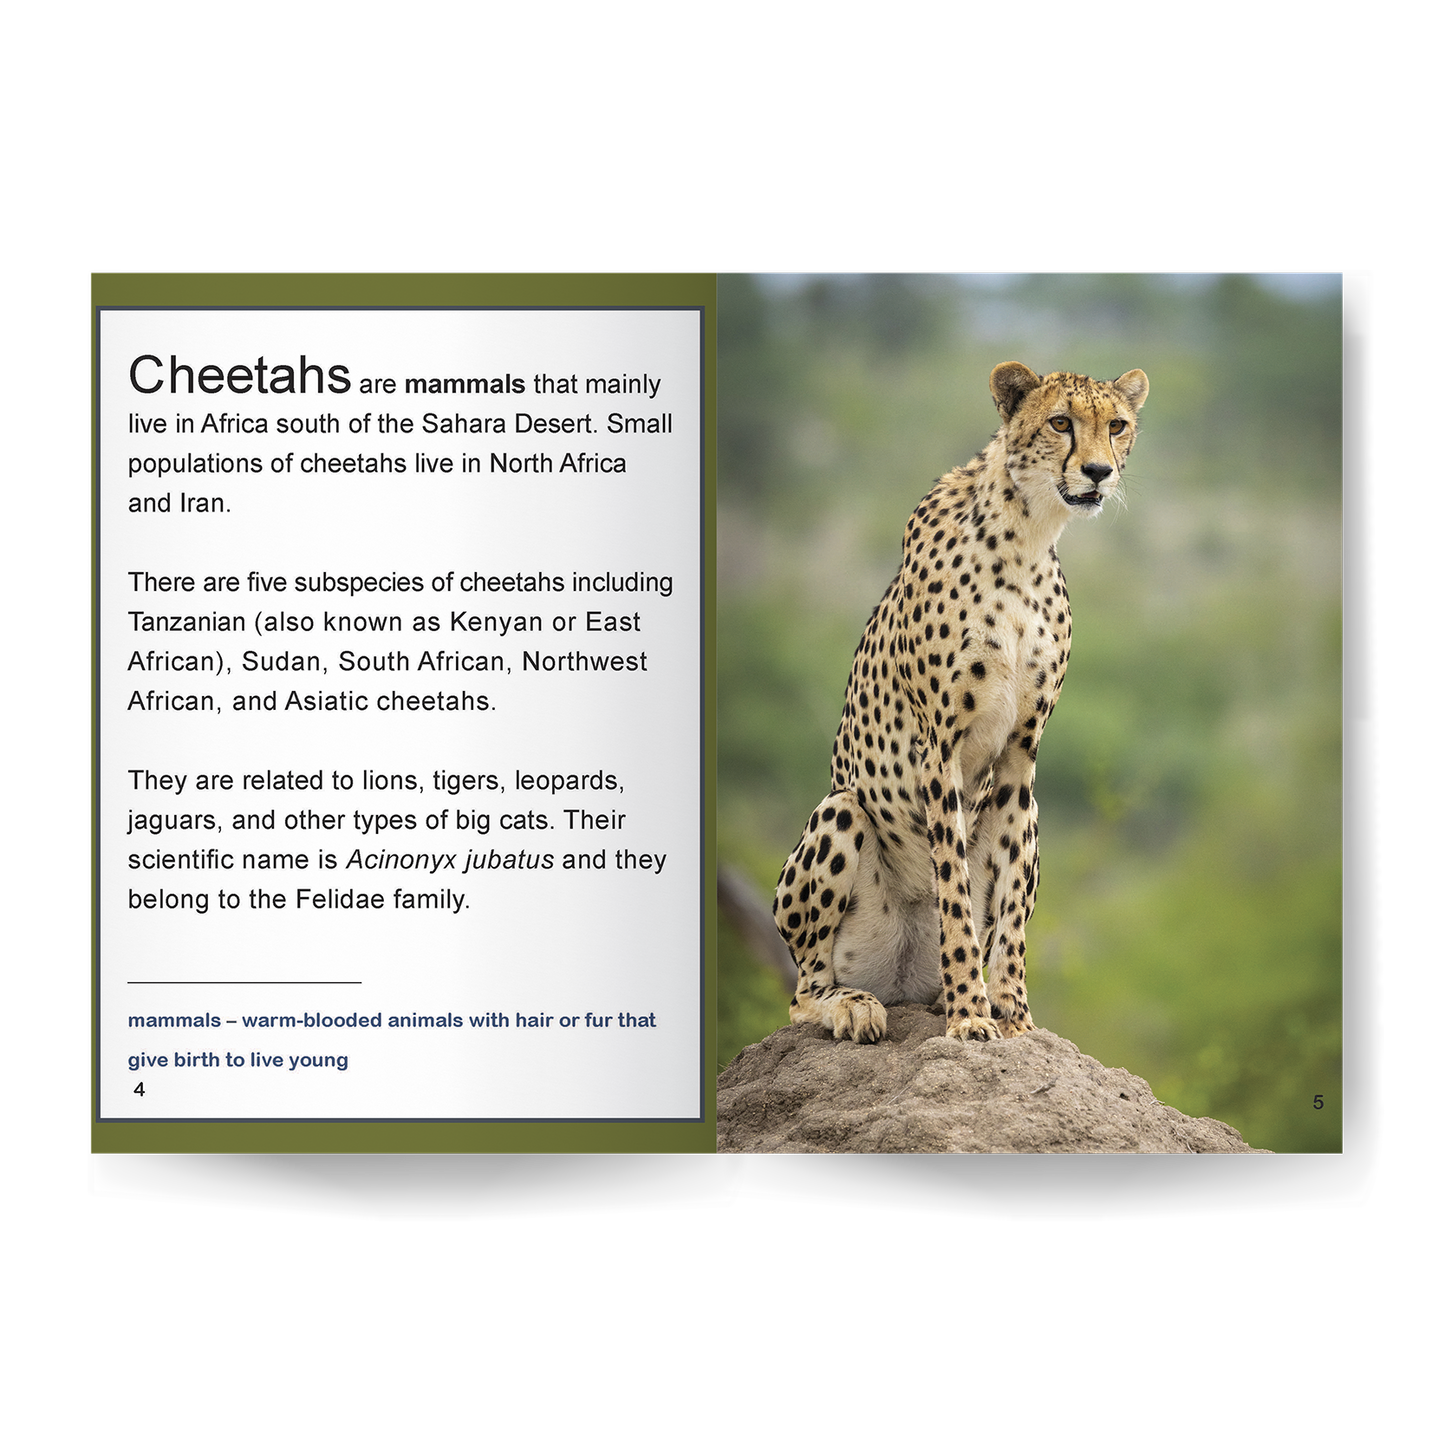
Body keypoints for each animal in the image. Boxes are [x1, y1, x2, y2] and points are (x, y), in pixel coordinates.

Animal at [773, 361, 1149, 1044]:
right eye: (1061, 422)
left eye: (1116, 426)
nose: (1098, 472)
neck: (1028, 536)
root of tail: (903, 986)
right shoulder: (940, 748)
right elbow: (951, 887)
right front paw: (971, 1013)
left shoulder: (1022, 753)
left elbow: (1010, 911)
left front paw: (1014, 1015)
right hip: (840, 811)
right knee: (805, 989)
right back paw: (853, 1005)